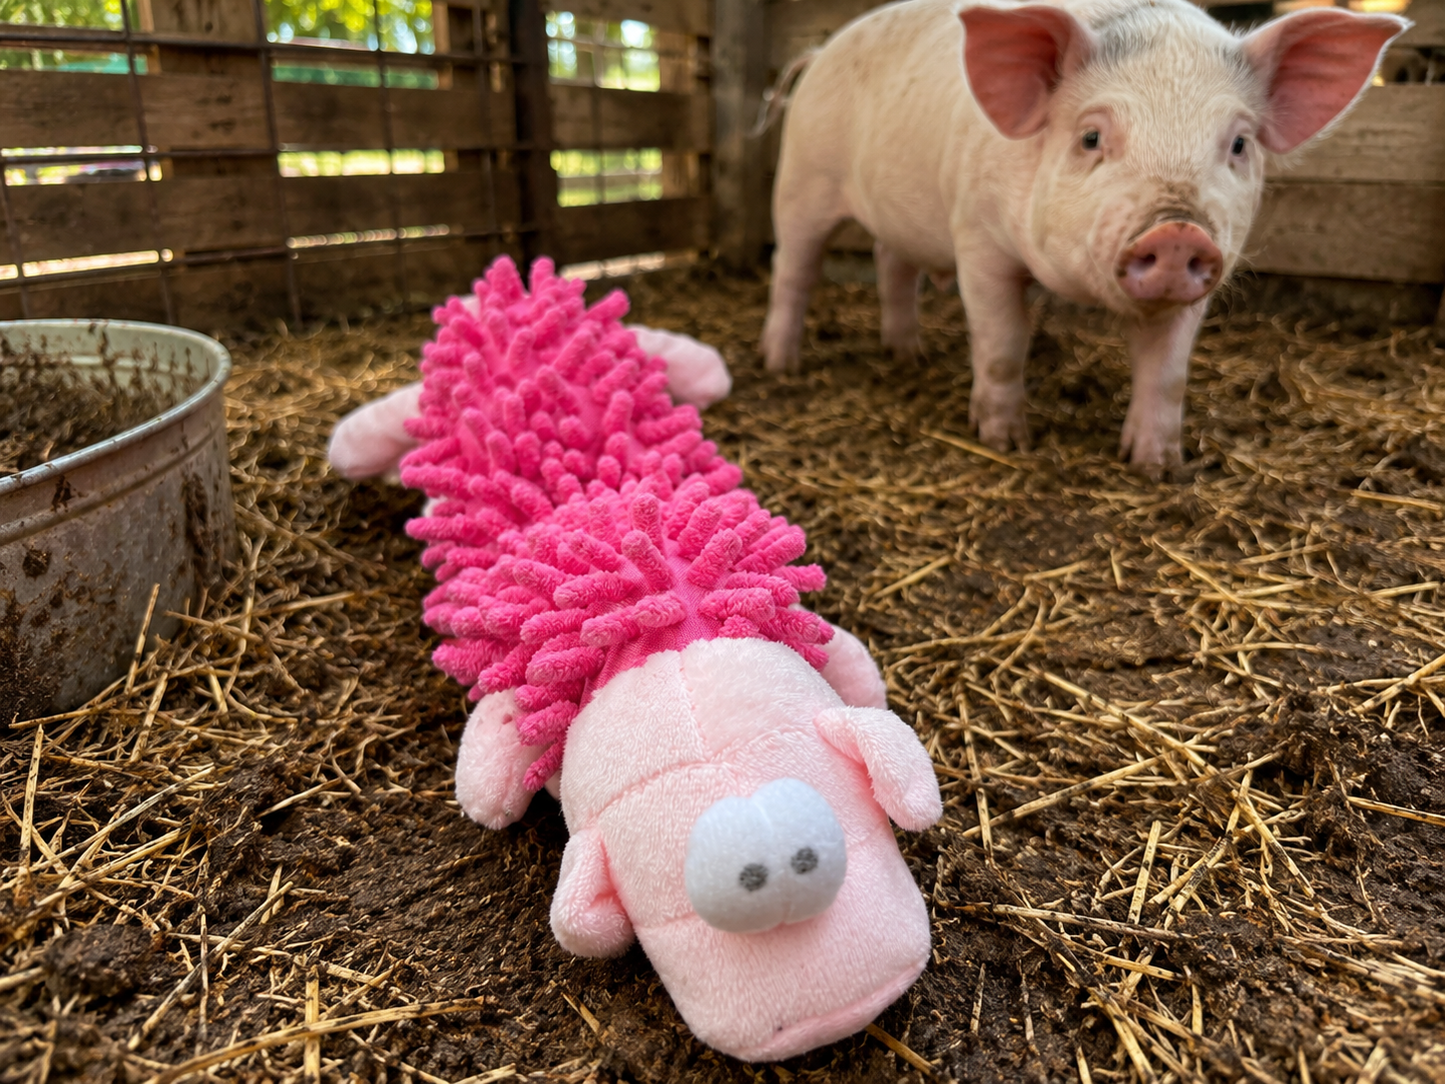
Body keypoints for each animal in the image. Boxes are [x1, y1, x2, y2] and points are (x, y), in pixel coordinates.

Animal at [760, 0, 1408, 476]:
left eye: (1240, 144)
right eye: (1092, 137)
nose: (1178, 230)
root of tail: (819, 52)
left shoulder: (1196, 291)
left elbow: (1168, 375)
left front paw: (1157, 468)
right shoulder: (978, 240)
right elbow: (1002, 345)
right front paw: (1006, 442)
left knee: (890, 261)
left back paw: (906, 355)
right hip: (801, 178)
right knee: (794, 270)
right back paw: (780, 365)